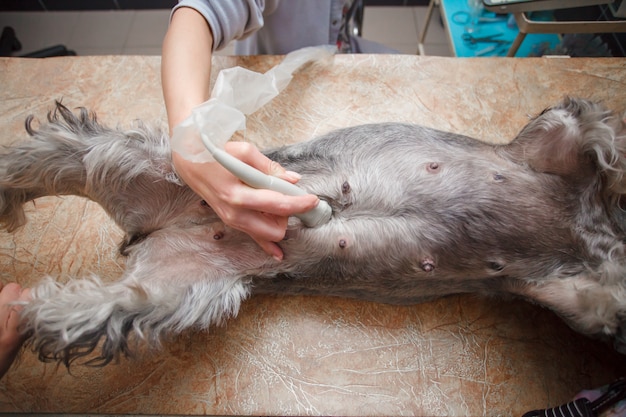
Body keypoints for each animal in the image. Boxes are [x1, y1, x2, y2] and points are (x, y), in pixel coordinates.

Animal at [0, 96, 620, 364]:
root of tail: (146, 233)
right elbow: (610, 143)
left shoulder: (593, 296)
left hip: (167, 290)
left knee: (70, 305)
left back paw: (24, 302)